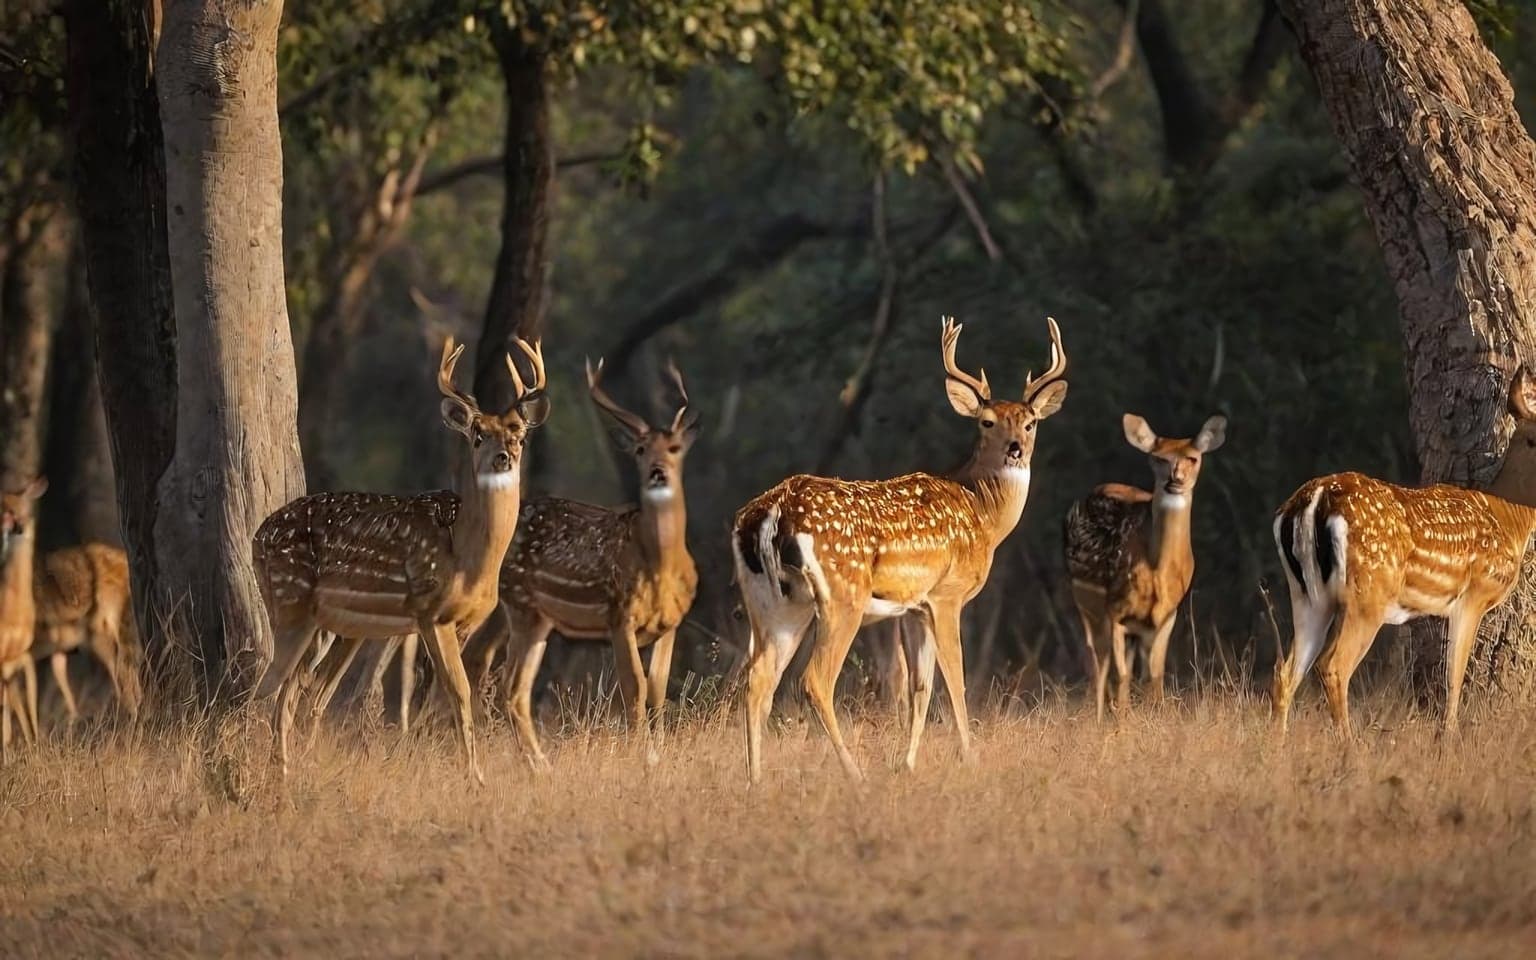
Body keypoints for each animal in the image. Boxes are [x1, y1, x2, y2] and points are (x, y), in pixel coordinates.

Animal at [252, 336, 548, 783]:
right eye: (477, 435)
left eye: (518, 435)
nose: (504, 457)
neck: (469, 559)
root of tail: (256, 538)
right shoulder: (429, 611)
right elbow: (458, 692)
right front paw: (474, 777)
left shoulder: (466, 622)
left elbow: (446, 693)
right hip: (290, 603)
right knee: (270, 688)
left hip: (328, 625)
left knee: (299, 693)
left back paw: (288, 768)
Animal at [468, 357, 700, 769]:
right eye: (640, 449)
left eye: (674, 448)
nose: (658, 471)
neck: (661, 567)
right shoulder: (618, 614)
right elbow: (635, 688)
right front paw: (642, 756)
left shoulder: (671, 623)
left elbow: (657, 689)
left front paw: (658, 753)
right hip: (519, 605)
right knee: (506, 683)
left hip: (521, 614)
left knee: (479, 661)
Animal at [732, 316, 1067, 783]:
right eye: (986, 422)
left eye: (1030, 421)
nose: (1015, 448)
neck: (982, 516)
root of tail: (771, 511)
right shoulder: (947, 595)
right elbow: (956, 679)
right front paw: (970, 757)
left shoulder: (913, 607)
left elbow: (920, 687)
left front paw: (907, 764)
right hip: (842, 595)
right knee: (813, 680)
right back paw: (853, 775)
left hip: (776, 604)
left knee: (758, 679)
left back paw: (755, 780)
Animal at [1064, 414, 1227, 721]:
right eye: (1158, 458)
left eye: (1193, 458)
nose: (1175, 480)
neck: (1157, 571)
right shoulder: (1115, 610)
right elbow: (1121, 674)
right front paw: (1120, 723)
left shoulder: (1168, 614)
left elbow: (1156, 675)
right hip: (1086, 599)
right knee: (1096, 659)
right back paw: (1102, 713)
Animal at [1271, 367, 1536, 737]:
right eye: (1533, 440)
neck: (1510, 519)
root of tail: (1314, 498)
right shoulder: (1474, 594)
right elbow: (1454, 677)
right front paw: (1446, 737)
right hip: (1369, 593)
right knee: (1334, 666)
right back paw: (1350, 746)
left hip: (1307, 595)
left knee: (1286, 672)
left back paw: (1276, 745)